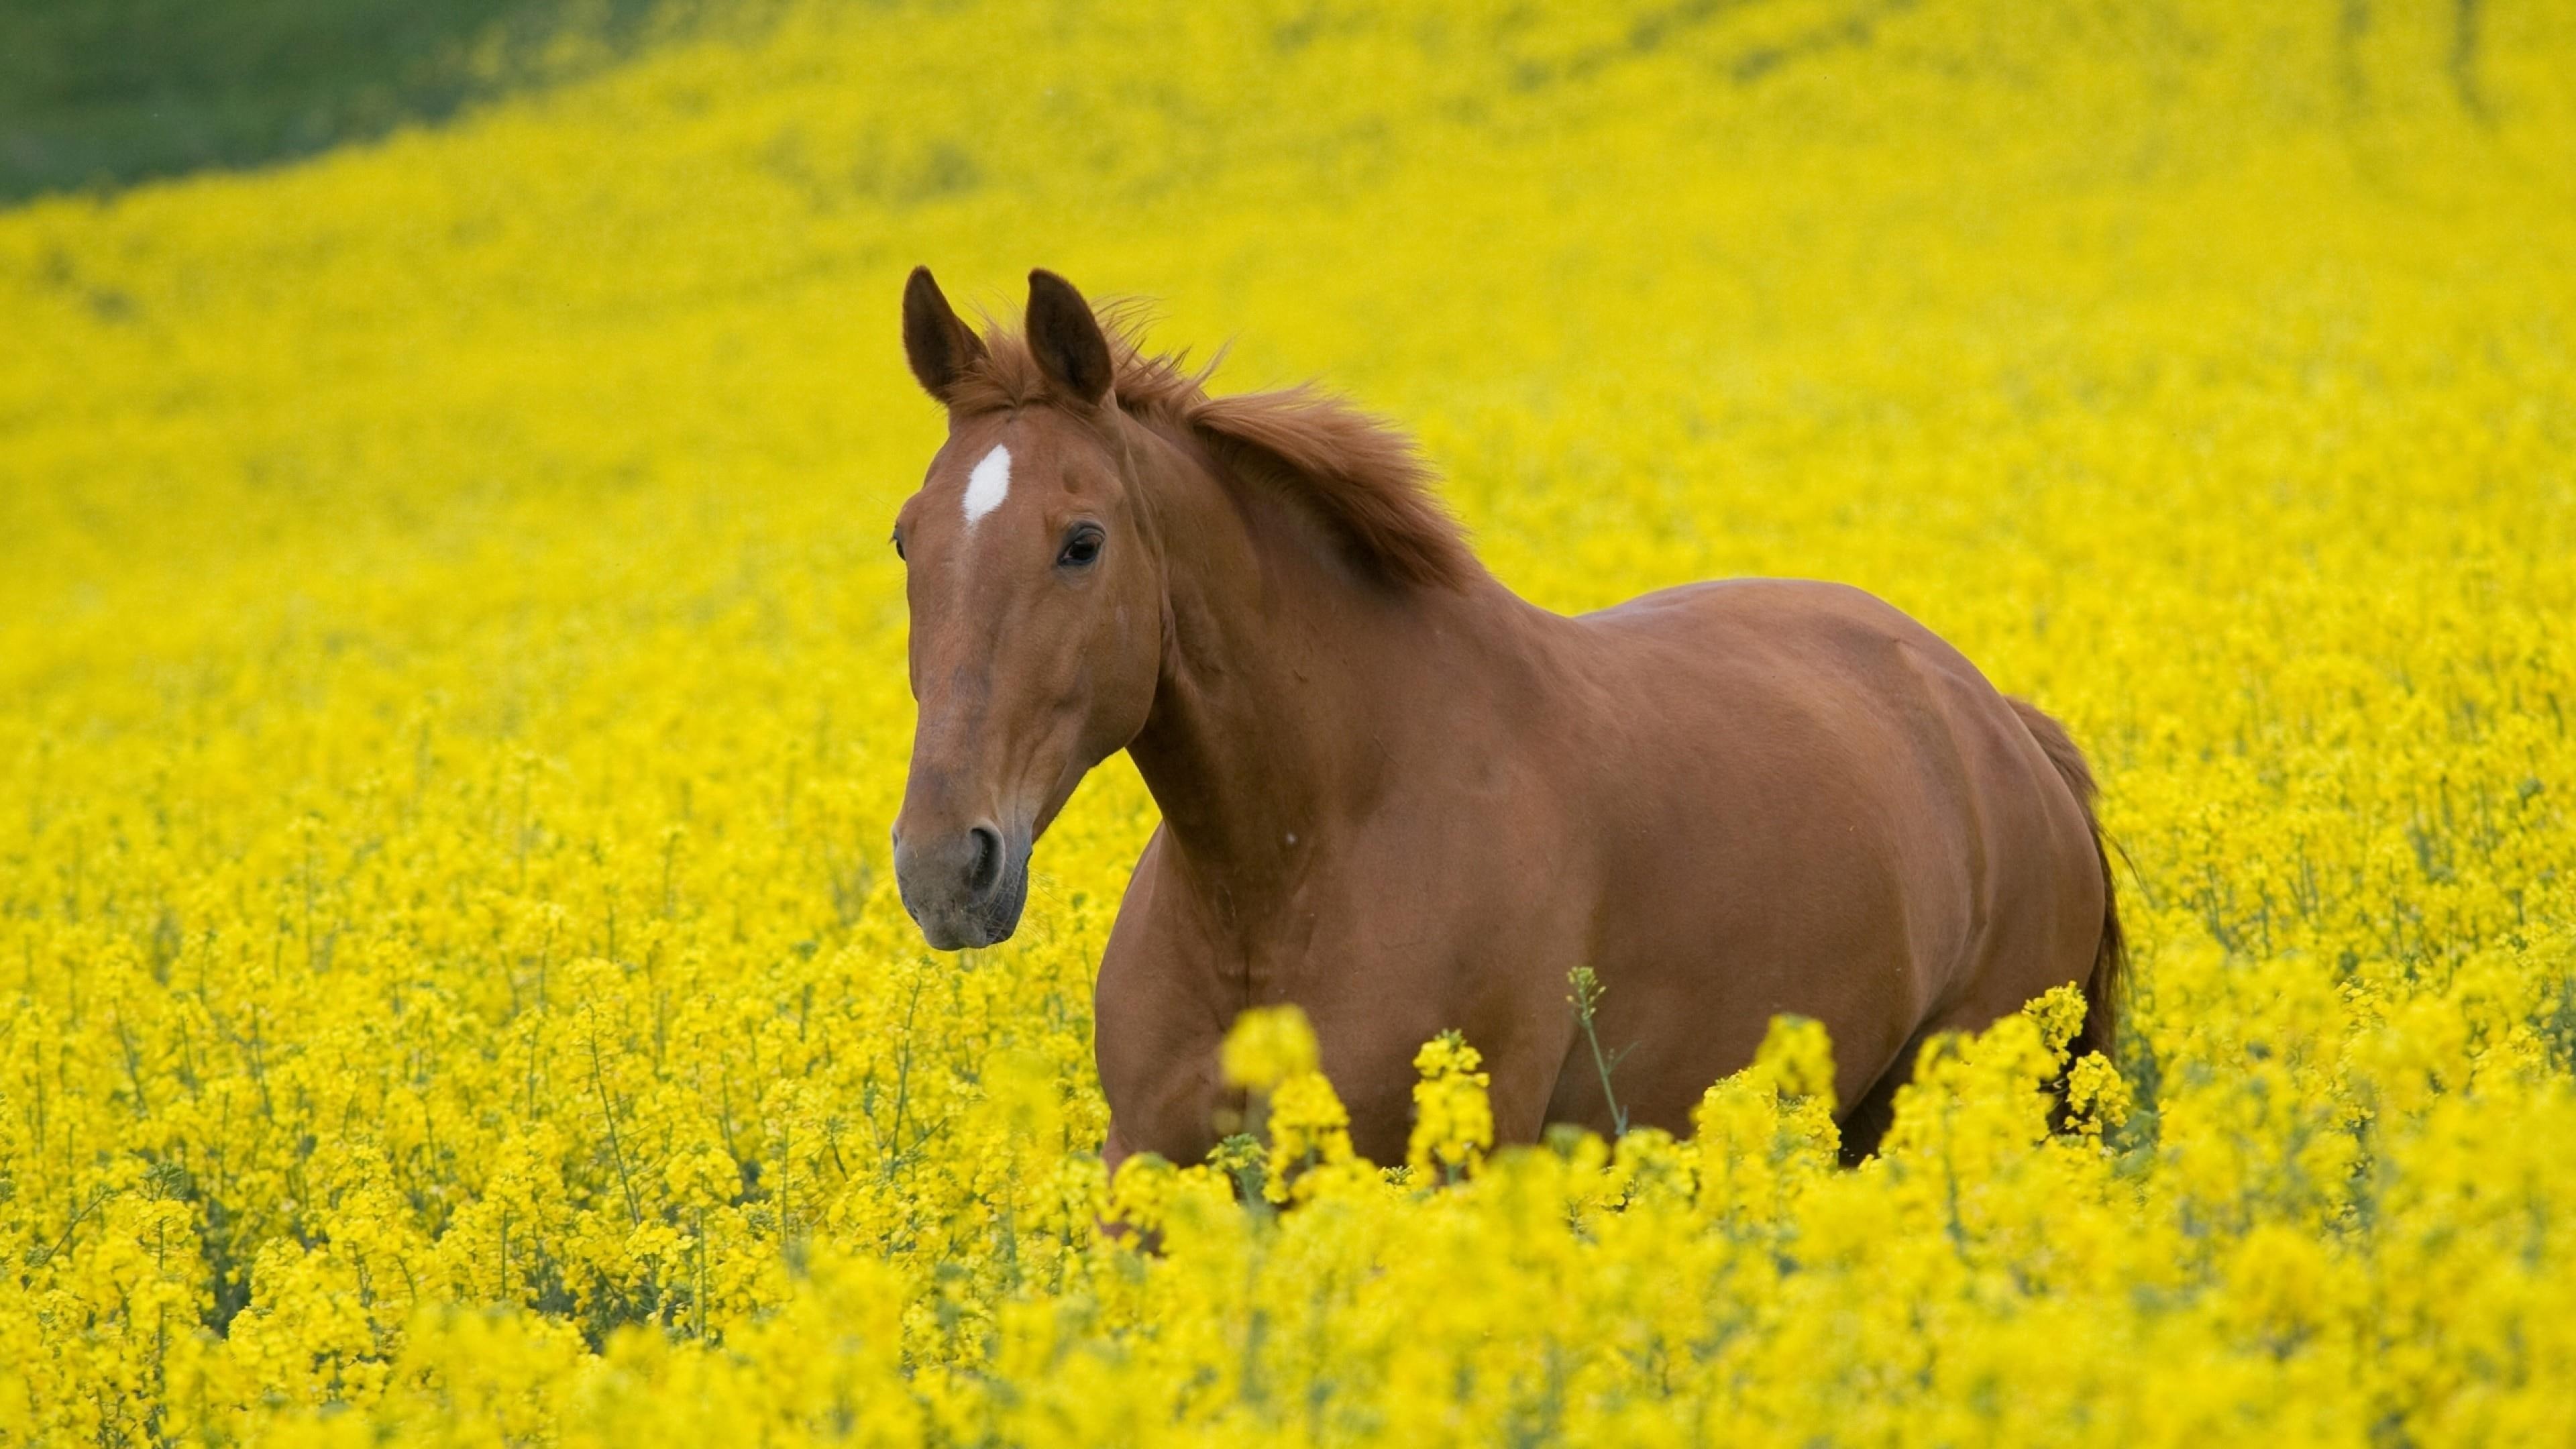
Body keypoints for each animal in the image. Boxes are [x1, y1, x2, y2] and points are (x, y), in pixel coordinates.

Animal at [887, 267, 2124, 1170]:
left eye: (1081, 541)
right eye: (907, 537)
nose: (946, 867)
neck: (1291, 869)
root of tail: (2001, 725)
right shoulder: (1146, 1172)